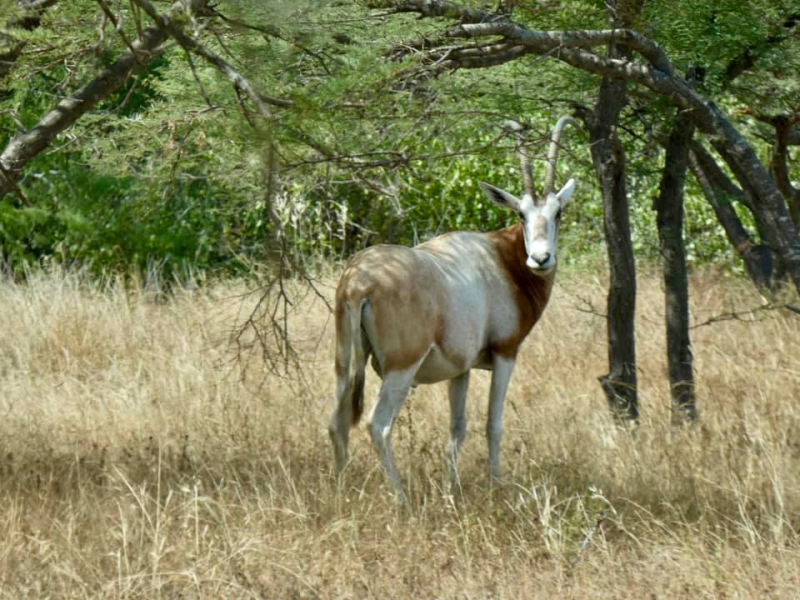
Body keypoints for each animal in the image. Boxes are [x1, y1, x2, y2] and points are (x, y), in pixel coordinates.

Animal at [328, 117, 580, 502]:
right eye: (521, 214)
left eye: (558, 212)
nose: (540, 258)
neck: (501, 260)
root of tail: (359, 282)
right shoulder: (506, 354)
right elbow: (493, 423)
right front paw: (495, 485)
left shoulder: (460, 369)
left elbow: (457, 427)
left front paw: (451, 489)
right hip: (401, 369)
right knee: (378, 424)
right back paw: (401, 499)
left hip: (344, 364)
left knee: (337, 422)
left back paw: (341, 495)